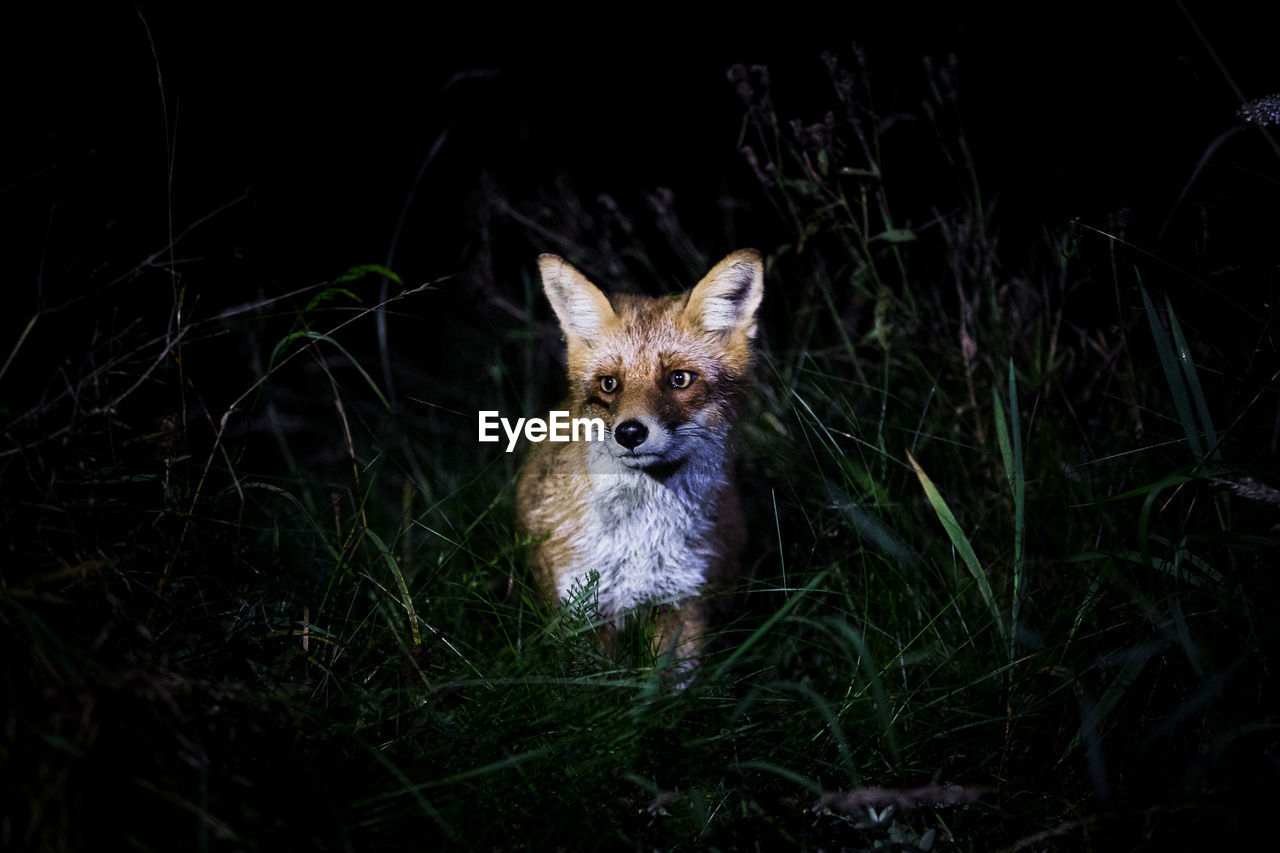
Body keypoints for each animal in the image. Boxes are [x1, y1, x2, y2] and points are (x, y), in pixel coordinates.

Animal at [517, 247, 762, 676]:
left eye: (679, 379)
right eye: (609, 384)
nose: (630, 433)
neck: (641, 538)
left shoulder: (684, 603)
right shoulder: (581, 606)